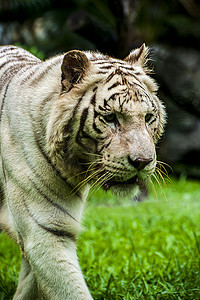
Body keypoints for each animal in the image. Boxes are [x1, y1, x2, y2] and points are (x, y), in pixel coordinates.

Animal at [0, 43, 166, 298]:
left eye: (148, 117)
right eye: (111, 118)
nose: (142, 161)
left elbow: (31, 282)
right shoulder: (45, 228)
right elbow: (69, 289)